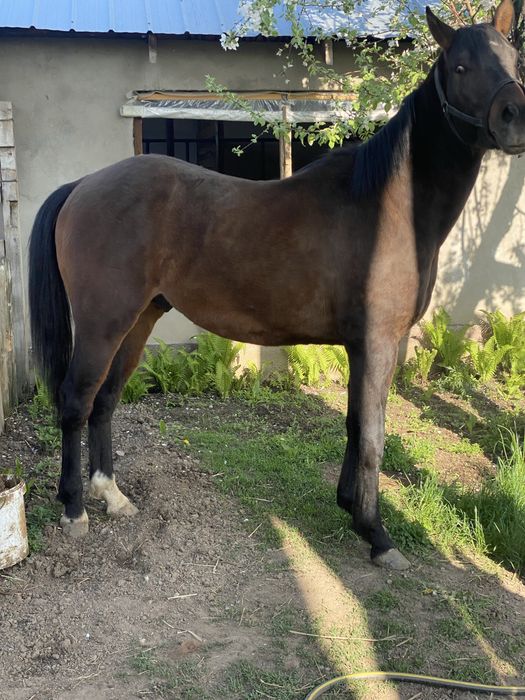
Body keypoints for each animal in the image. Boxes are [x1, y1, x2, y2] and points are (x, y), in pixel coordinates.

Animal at [29, 0, 525, 570]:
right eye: (461, 67)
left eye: (514, 58)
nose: (515, 116)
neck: (389, 208)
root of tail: (83, 186)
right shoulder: (378, 342)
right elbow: (374, 437)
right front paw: (378, 535)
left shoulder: (361, 347)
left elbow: (354, 424)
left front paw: (349, 508)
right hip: (102, 323)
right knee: (76, 400)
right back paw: (74, 510)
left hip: (138, 320)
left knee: (106, 400)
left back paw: (112, 496)